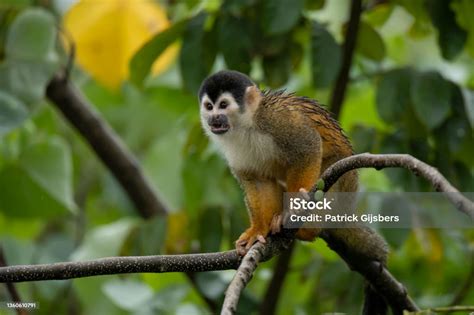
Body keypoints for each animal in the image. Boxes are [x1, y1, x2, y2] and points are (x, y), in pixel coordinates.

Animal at [198, 71, 386, 266]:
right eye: (209, 106)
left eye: (223, 105)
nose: (214, 118)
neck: (245, 125)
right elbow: (257, 181)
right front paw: (257, 231)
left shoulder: (275, 120)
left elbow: (308, 146)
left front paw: (294, 205)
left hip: (345, 181)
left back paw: (308, 229)